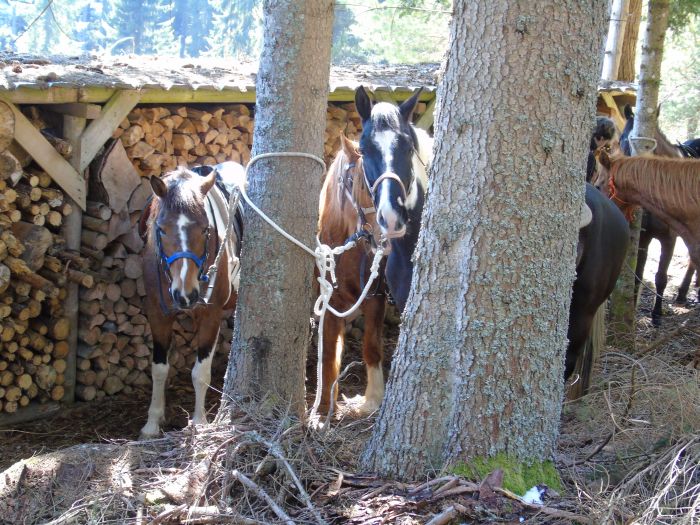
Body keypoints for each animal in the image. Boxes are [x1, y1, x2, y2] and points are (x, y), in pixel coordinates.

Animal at [138, 162, 245, 436]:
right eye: (161, 228)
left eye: (206, 229)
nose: (185, 294)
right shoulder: (157, 314)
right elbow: (159, 369)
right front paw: (153, 422)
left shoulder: (210, 315)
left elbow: (200, 373)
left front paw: (199, 422)